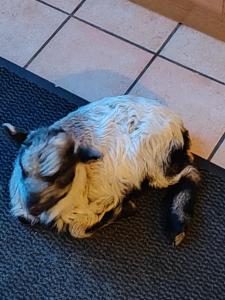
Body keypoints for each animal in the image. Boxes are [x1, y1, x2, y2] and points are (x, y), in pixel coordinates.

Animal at [3, 95, 200, 246]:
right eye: (23, 169)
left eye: (62, 175)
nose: (33, 207)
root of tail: (179, 124)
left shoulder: (106, 194)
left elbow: (78, 230)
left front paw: (126, 207)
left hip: (157, 160)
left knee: (191, 172)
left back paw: (177, 226)